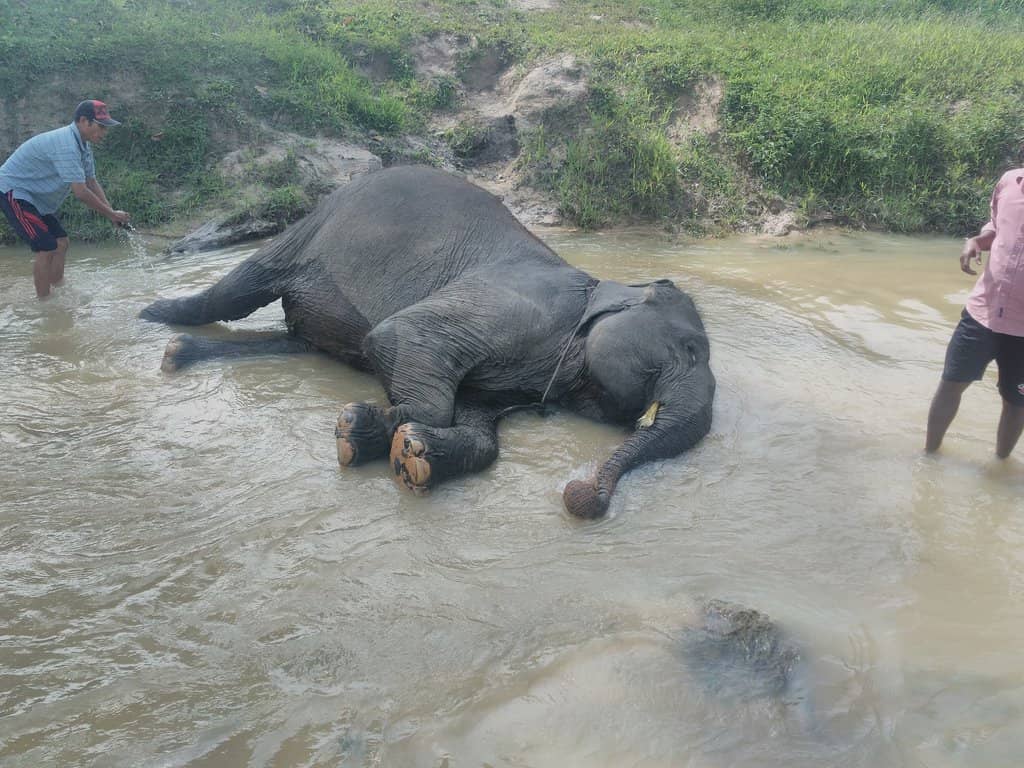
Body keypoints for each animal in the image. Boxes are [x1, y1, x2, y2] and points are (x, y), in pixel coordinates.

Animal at [140, 166, 715, 518]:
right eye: (691, 349)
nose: (578, 494)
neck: (602, 286)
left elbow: (482, 431)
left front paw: (407, 452)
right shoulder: (511, 308)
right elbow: (401, 337)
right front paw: (363, 427)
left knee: (299, 344)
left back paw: (180, 353)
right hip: (313, 229)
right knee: (241, 288)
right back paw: (155, 318)